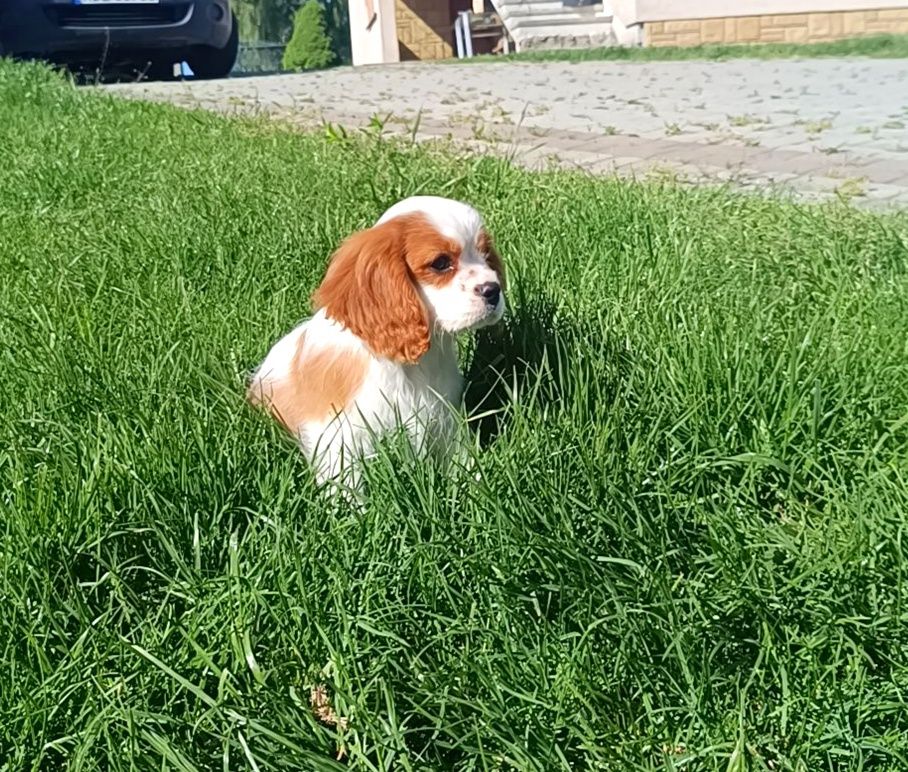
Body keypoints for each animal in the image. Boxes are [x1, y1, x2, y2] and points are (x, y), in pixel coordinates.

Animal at [247, 198, 504, 488]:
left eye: (486, 255)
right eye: (440, 263)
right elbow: (347, 483)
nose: (493, 290)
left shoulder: (445, 418)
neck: (412, 365)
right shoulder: (338, 436)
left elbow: (461, 460)